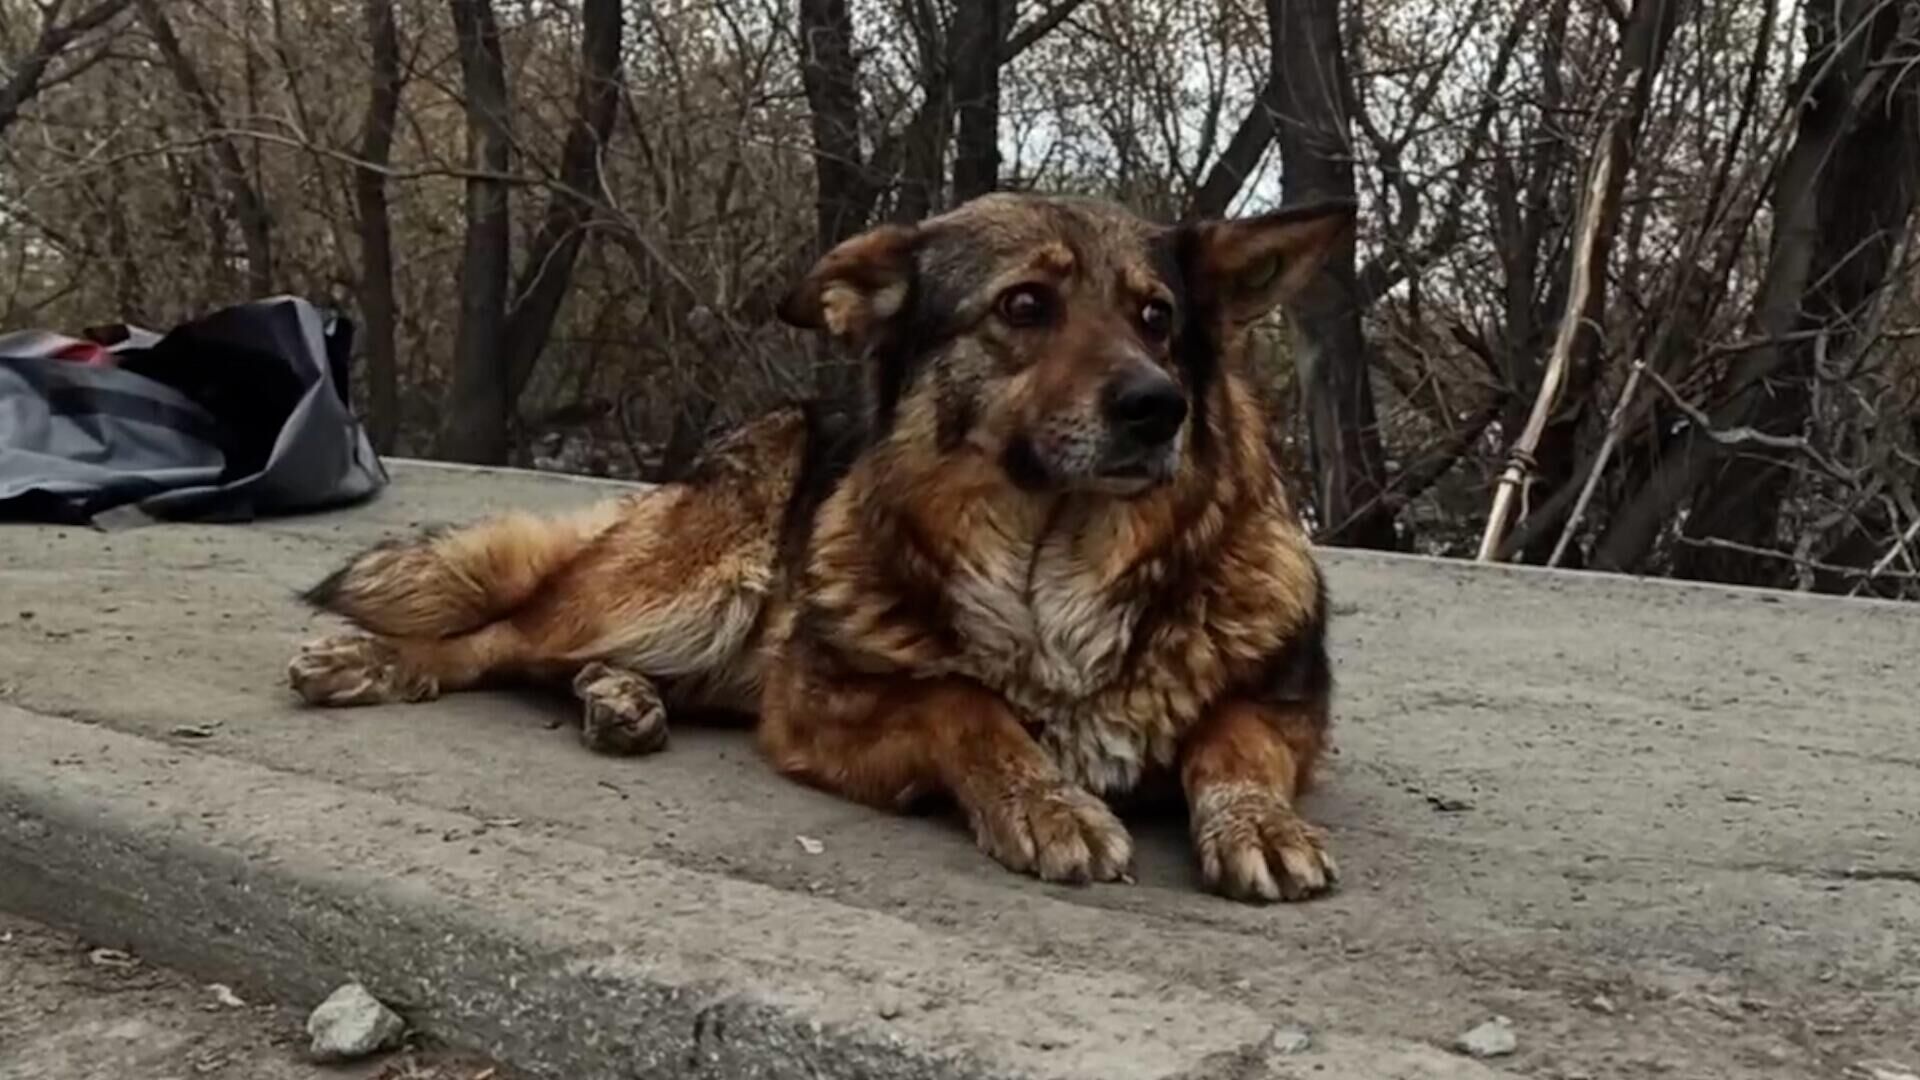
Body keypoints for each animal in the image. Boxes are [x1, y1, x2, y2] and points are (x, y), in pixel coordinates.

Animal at [291, 193, 1359, 899]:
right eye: (1024, 307)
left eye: (1156, 318)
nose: (1157, 408)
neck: (1053, 565)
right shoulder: (817, 702)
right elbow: (963, 702)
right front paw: (1043, 801)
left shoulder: (1287, 712)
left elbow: (1232, 739)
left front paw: (1258, 819)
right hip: (690, 589)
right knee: (508, 638)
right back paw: (374, 660)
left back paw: (622, 699)